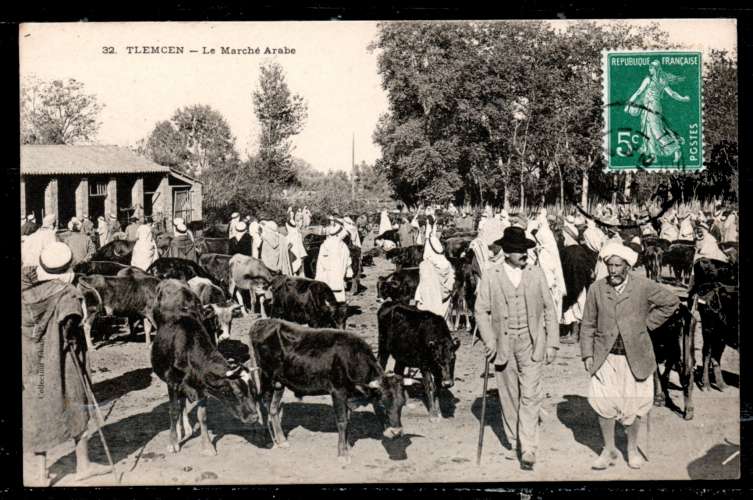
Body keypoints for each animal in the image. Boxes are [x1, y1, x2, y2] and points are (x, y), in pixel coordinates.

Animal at [150, 316, 262, 458]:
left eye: (253, 391)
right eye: (237, 393)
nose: (254, 417)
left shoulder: (202, 387)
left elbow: (202, 416)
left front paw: (207, 446)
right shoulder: (172, 382)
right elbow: (173, 411)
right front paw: (173, 443)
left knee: (182, 403)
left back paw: (187, 429)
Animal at [247, 318, 414, 462]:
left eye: (402, 404)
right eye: (381, 403)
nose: (396, 432)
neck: (351, 357)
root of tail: (262, 322)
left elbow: (348, 422)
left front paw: (346, 447)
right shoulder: (337, 392)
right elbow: (342, 422)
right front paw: (342, 454)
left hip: (279, 382)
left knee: (273, 408)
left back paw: (282, 440)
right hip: (266, 375)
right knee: (263, 404)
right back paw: (269, 441)